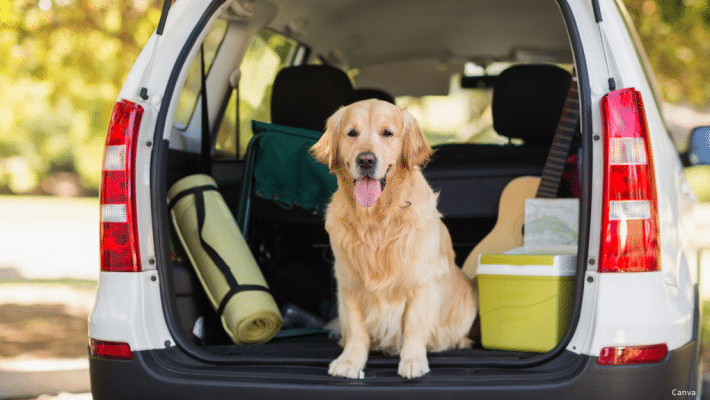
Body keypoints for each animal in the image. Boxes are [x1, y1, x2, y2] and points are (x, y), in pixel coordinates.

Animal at [312, 99, 478, 378]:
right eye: (351, 133)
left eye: (387, 133)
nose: (366, 160)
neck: (376, 221)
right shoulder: (349, 281)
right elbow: (356, 329)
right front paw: (350, 361)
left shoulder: (421, 281)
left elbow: (414, 325)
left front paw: (413, 361)